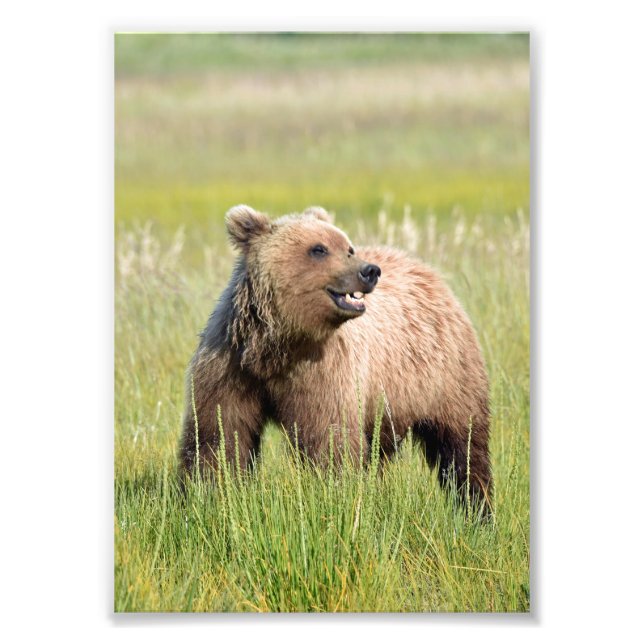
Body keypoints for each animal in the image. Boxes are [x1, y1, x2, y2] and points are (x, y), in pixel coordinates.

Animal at [180, 205, 492, 513]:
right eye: (319, 249)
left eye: (348, 247)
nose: (370, 270)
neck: (278, 350)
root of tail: (424, 269)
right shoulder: (230, 368)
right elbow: (219, 436)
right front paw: (208, 495)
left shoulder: (324, 374)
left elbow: (329, 441)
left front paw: (335, 497)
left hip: (445, 375)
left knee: (463, 443)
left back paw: (477, 506)